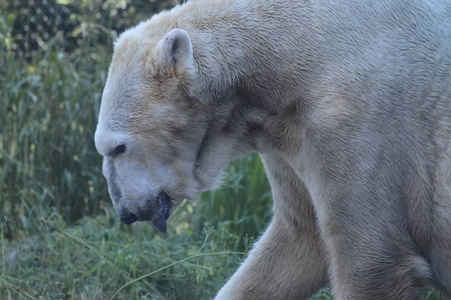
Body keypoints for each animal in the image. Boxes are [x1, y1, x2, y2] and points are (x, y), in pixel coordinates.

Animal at [94, 0, 451, 298]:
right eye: (104, 148)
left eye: (118, 146)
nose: (125, 213)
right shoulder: (287, 136)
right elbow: (298, 239)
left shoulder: (354, 120)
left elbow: (373, 259)